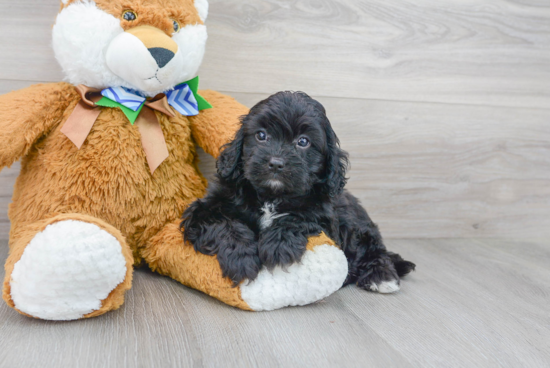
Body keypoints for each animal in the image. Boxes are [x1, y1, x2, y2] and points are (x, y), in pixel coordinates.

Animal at [183, 92, 416, 294]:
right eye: (261, 135)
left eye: (303, 141)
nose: (276, 163)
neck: (272, 196)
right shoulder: (203, 209)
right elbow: (224, 223)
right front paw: (241, 257)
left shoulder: (326, 219)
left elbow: (299, 218)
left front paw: (278, 246)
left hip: (358, 225)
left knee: (375, 250)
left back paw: (382, 276)